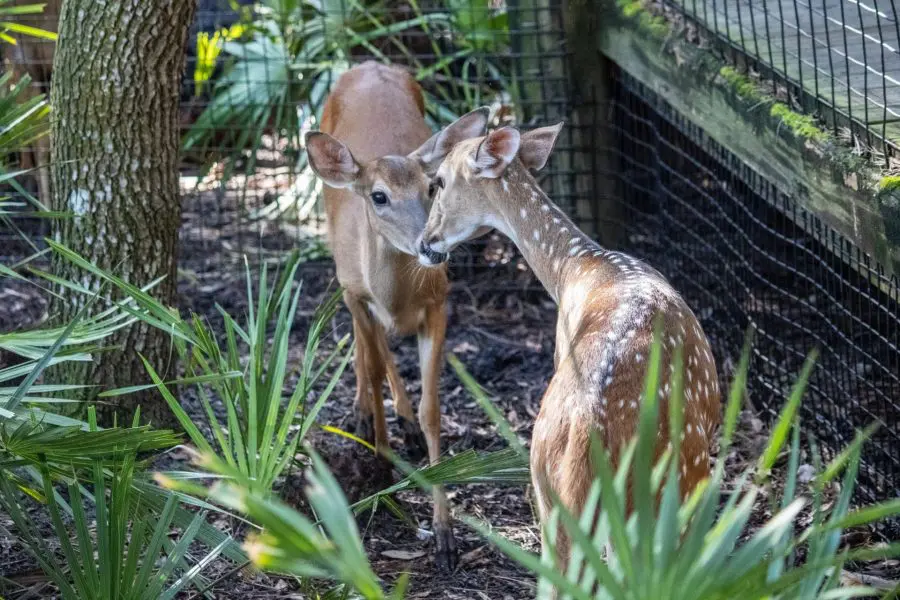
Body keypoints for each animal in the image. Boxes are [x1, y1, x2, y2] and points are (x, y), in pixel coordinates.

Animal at [304, 62, 488, 572]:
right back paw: (364, 416)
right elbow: (373, 365)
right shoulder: (355, 293)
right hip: (341, 272)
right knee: (367, 349)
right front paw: (383, 471)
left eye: (433, 186)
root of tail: (366, 64)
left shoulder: (439, 303)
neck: (398, 297)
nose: (433, 247)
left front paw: (445, 535)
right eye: (380, 196)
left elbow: (432, 409)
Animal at [418, 119, 720, 568]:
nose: (424, 243)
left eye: (437, 181)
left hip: (551, 496)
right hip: (670, 491)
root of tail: (586, 433)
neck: (575, 266)